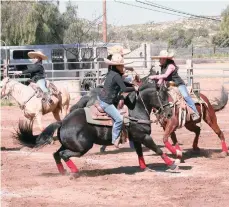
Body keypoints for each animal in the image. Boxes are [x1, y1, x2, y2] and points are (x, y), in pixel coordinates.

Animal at [14, 81, 179, 178]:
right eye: (163, 96)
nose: (169, 114)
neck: (134, 109)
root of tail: (63, 122)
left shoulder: (137, 138)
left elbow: (140, 154)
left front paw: (144, 168)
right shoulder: (144, 136)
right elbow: (158, 149)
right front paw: (172, 164)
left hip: (70, 144)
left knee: (56, 154)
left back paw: (63, 172)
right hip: (82, 147)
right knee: (64, 154)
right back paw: (74, 172)